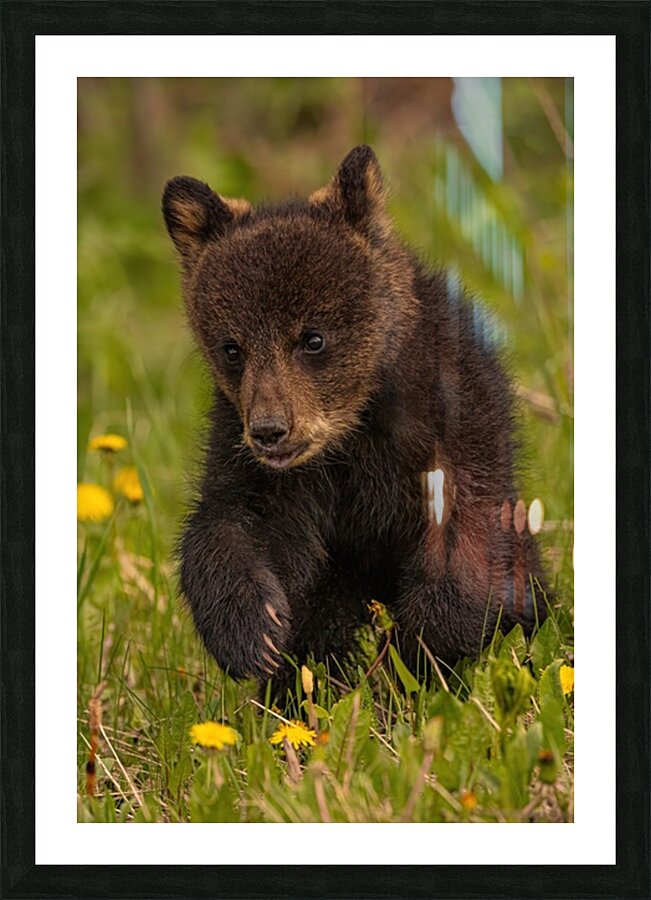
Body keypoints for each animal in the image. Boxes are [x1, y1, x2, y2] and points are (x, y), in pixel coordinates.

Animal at [162, 145, 547, 695]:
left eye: (313, 338)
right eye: (231, 347)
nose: (271, 430)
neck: (354, 430)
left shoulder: (454, 424)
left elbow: (467, 537)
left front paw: (417, 658)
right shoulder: (261, 461)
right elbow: (236, 524)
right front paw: (254, 634)